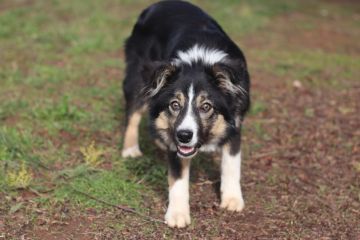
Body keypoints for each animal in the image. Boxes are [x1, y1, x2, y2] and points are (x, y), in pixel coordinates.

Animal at [122, 0, 249, 228]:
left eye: (206, 106)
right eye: (175, 105)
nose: (184, 135)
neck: (199, 62)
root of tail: (159, 4)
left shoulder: (235, 121)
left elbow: (231, 163)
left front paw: (232, 199)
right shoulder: (176, 138)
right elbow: (178, 177)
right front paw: (177, 214)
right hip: (138, 77)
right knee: (133, 113)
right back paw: (130, 149)